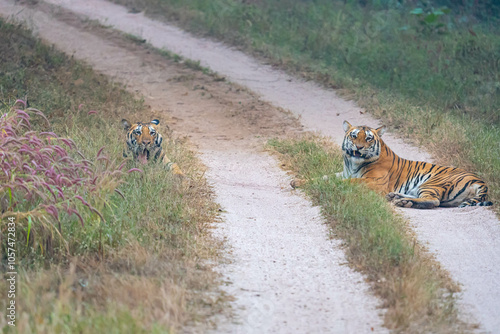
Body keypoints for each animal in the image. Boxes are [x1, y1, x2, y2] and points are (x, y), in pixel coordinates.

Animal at [336, 120, 492, 209]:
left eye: (368, 138)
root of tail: (480, 181)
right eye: (354, 136)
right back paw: (396, 197)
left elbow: (353, 181)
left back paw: (402, 202)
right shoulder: (344, 173)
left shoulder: (376, 182)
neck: (352, 164)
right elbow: (335, 176)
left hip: (432, 183)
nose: (359, 147)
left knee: (433, 201)